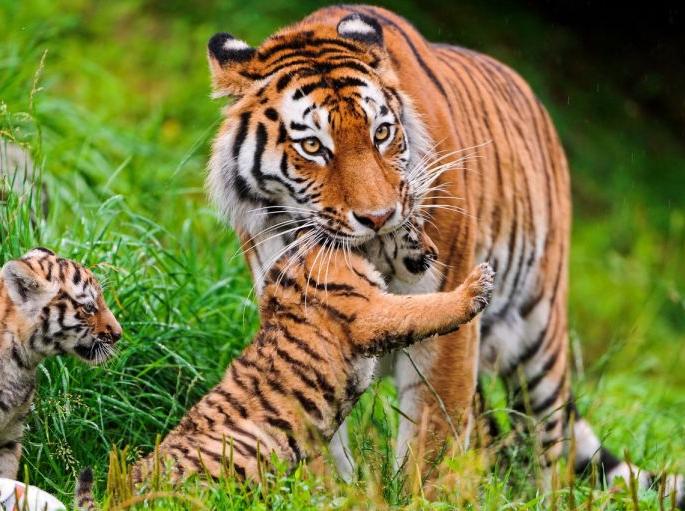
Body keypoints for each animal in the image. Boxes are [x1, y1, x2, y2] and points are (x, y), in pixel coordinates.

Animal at [74, 229, 494, 510]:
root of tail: (122, 492)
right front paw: (476, 286)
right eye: (413, 226)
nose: (434, 251)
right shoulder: (369, 311)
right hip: (242, 450)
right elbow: (423, 308)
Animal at [204, 4, 684, 505]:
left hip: (540, 340)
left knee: (549, 448)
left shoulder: (448, 322)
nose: (378, 217)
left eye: (381, 133)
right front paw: (330, 495)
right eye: (313, 146)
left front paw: (422, 497)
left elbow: (433, 438)